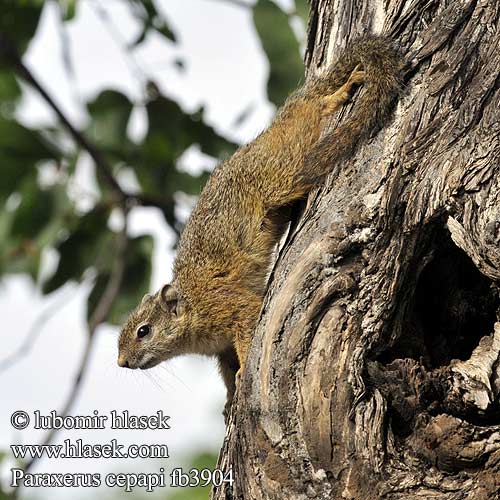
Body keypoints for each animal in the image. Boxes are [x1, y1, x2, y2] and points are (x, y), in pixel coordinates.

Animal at [117, 35, 402, 416]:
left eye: (144, 331)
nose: (121, 362)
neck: (192, 307)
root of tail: (275, 127)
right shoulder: (219, 348)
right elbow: (226, 368)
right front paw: (228, 400)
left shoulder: (231, 306)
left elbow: (246, 333)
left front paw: (241, 380)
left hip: (285, 169)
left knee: (317, 111)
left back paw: (340, 93)